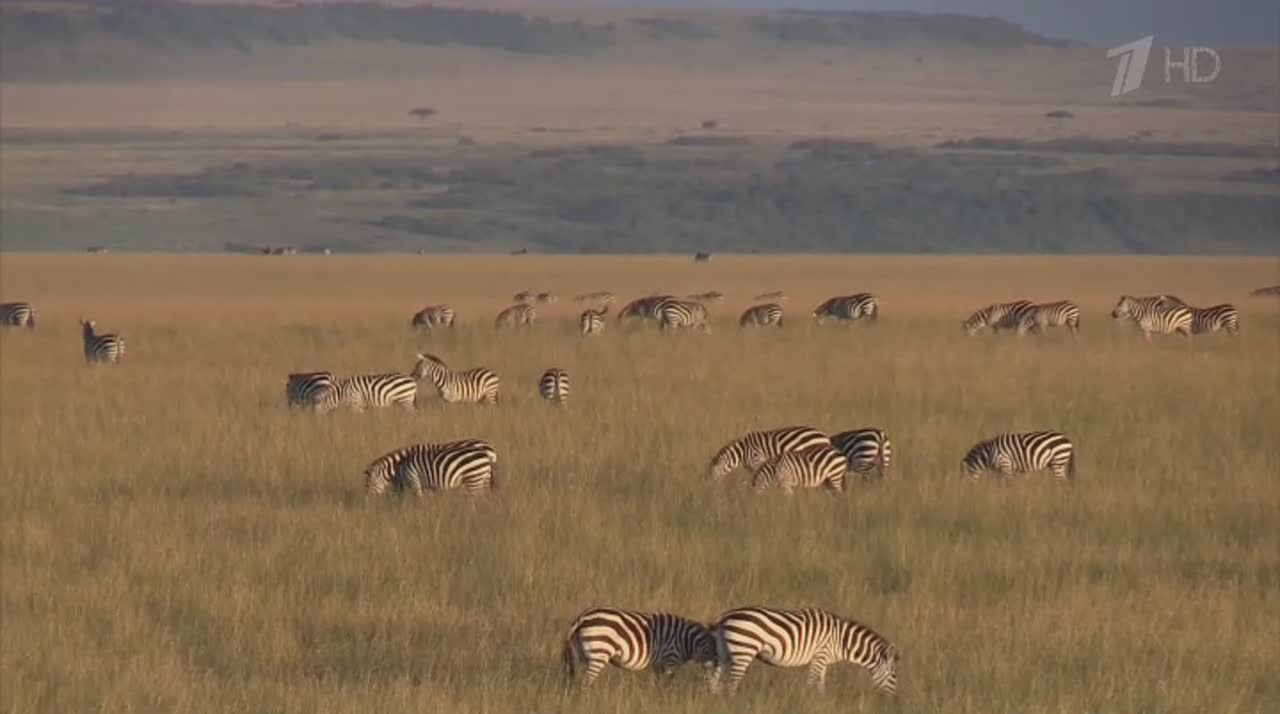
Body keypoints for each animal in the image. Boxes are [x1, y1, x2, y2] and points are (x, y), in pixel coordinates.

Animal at [363, 439, 498, 497]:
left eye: (369, 484)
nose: (369, 502)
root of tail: (489, 448)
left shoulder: (416, 479)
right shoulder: (429, 482)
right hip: (484, 477)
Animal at [561, 608, 718, 686]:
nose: (715, 699)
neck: (688, 641)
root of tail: (581, 617)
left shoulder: (658, 664)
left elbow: (658, 684)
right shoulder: (670, 659)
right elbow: (667, 685)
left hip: (584, 654)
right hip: (600, 651)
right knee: (587, 681)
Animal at [709, 607, 898, 695]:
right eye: (893, 676)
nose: (892, 701)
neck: (842, 641)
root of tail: (723, 617)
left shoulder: (823, 660)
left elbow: (821, 685)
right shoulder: (820, 655)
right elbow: (811, 683)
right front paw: (807, 702)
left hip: (725, 653)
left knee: (717, 683)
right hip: (744, 651)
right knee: (731, 685)